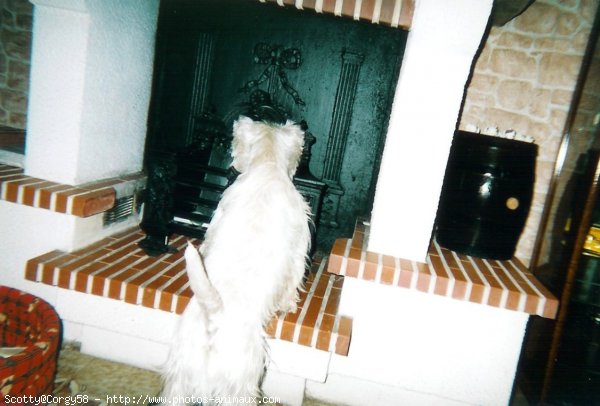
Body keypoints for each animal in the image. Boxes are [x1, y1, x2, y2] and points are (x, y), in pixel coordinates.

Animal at [161, 116, 310, 404]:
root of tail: (214, 321)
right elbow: (292, 282)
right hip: (239, 384)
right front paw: (288, 304)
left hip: (180, 377)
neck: (267, 165)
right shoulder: (298, 252)